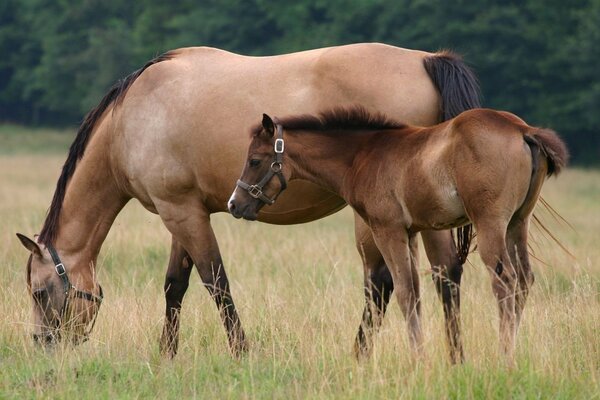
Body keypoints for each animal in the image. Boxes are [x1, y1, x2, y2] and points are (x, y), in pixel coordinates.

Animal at [15, 42, 478, 360]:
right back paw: (454, 356)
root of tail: (427, 59)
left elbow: (215, 282)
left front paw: (241, 351)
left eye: (39, 293)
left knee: (383, 283)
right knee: (445, 275)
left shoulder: (179, 212)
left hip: (378, 219)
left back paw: (361, 355)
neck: (131, 120)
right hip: (425, 215)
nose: (42, 345)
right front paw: (167, 354)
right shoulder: (183, 211)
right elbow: (175, 285)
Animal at [230, 107, 568, 362]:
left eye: (254, 160)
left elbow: (404, 292)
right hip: (517, 224)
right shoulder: (411, 232)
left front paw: (419, 358)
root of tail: (522, 130)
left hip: (490, 225)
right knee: (524, 279)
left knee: (505, 280)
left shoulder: (387, 230)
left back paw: (504, 356)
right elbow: (415, 292)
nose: (235, 203)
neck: (362, 156)